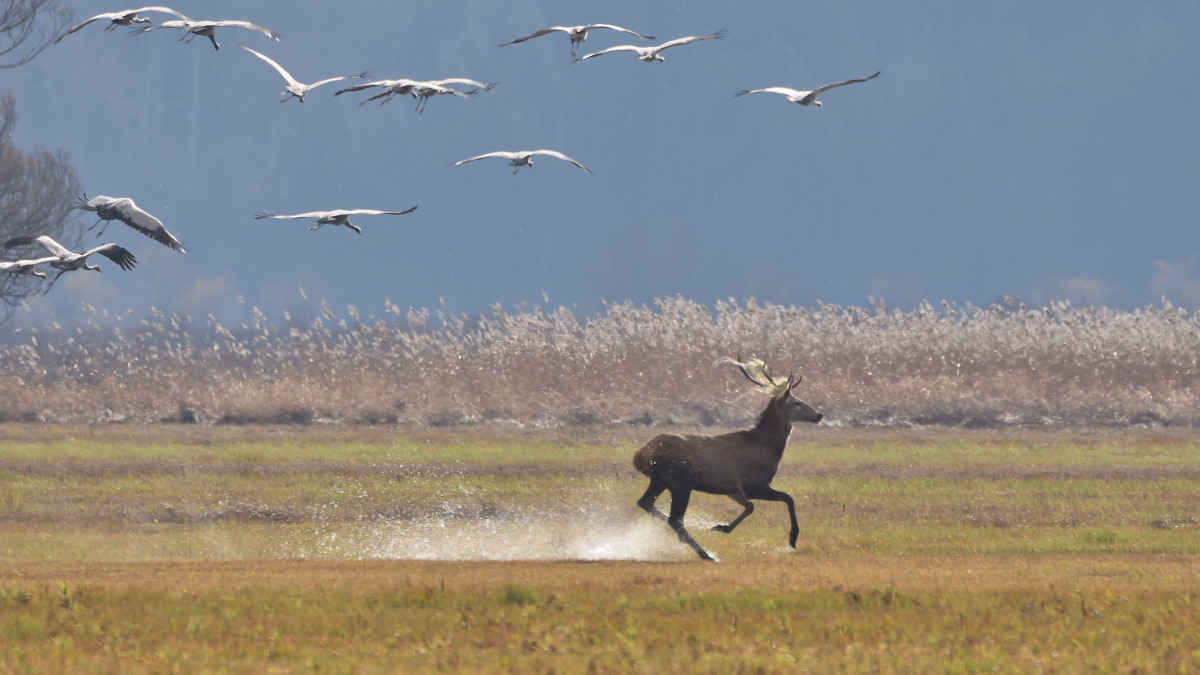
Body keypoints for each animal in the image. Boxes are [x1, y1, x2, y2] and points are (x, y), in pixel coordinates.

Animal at [633, 357, 820, 557]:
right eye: (797, 402)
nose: (819, 414)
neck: (768, 447)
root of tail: (640, 456)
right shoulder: (753, 484)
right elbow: (782, 499)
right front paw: (792, 538)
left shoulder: (731, 487)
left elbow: (751, 506)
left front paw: (720, 526)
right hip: (681, 481)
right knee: (675, 519)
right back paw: (706, 554)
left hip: (661, 480)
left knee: (646, 503)